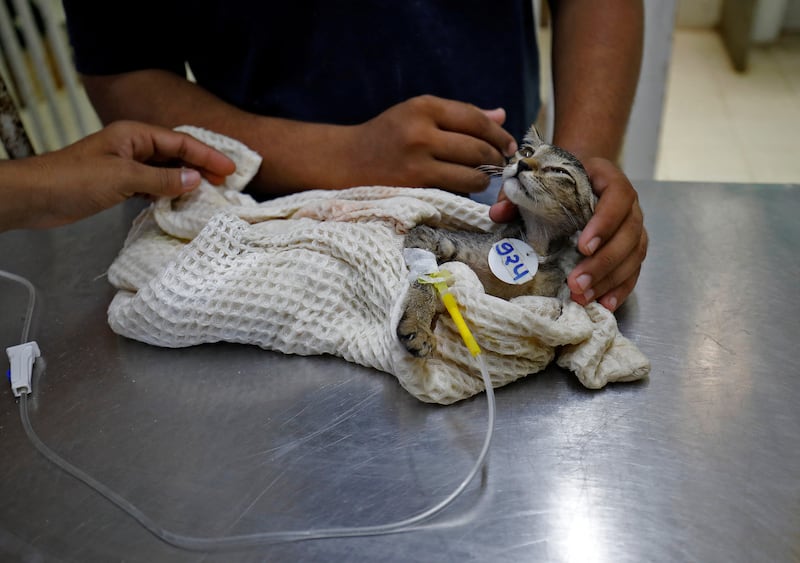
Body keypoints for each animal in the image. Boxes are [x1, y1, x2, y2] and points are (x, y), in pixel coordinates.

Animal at [398, 126, 592, 356]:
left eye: (560, 172)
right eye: (527, 152)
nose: (522, 163)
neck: (533, 244)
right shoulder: (424, 235)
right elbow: (425, 279)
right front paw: (418, 324)